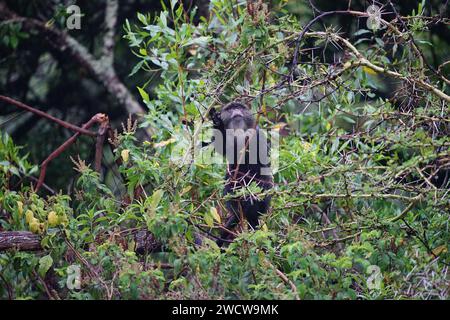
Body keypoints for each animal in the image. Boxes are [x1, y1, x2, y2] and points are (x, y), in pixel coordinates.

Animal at [208, 101, 274, 246]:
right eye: (231, 108)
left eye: (239, 107)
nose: (236, 111)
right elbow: (223, 148)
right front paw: (217, 121)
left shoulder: (258, 132)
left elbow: (260, 153)